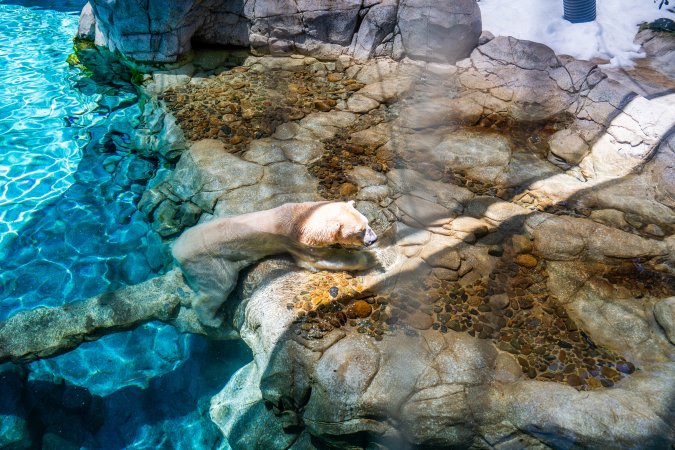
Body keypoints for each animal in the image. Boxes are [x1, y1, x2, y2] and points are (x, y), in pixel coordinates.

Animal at [172, 201, 378, 327]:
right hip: (210, 262)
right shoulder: (300, 243)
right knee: (218, 288)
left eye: (368, 223)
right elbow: (316, 260)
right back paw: (214, 319)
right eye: (360, 230)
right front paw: (369, 259)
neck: (302, 217)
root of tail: (176, 250)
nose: (374, 239)